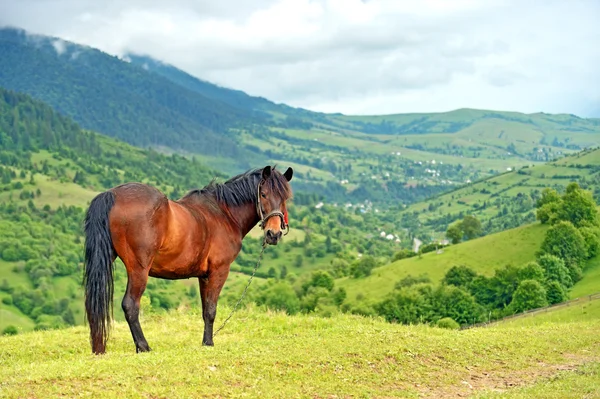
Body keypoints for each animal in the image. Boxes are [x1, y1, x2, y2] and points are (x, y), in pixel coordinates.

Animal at [82, 166, 292, 356]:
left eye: (285, 198)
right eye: (263, 194)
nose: (273, 234)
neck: (224, 214)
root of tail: (112, 194)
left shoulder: (203, 276)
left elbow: (205, 310)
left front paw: (206, 341)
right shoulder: (219, 271)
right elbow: (211, 310)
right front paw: (209, 343)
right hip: (138, 269)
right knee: (130, 305)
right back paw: (143, 346)